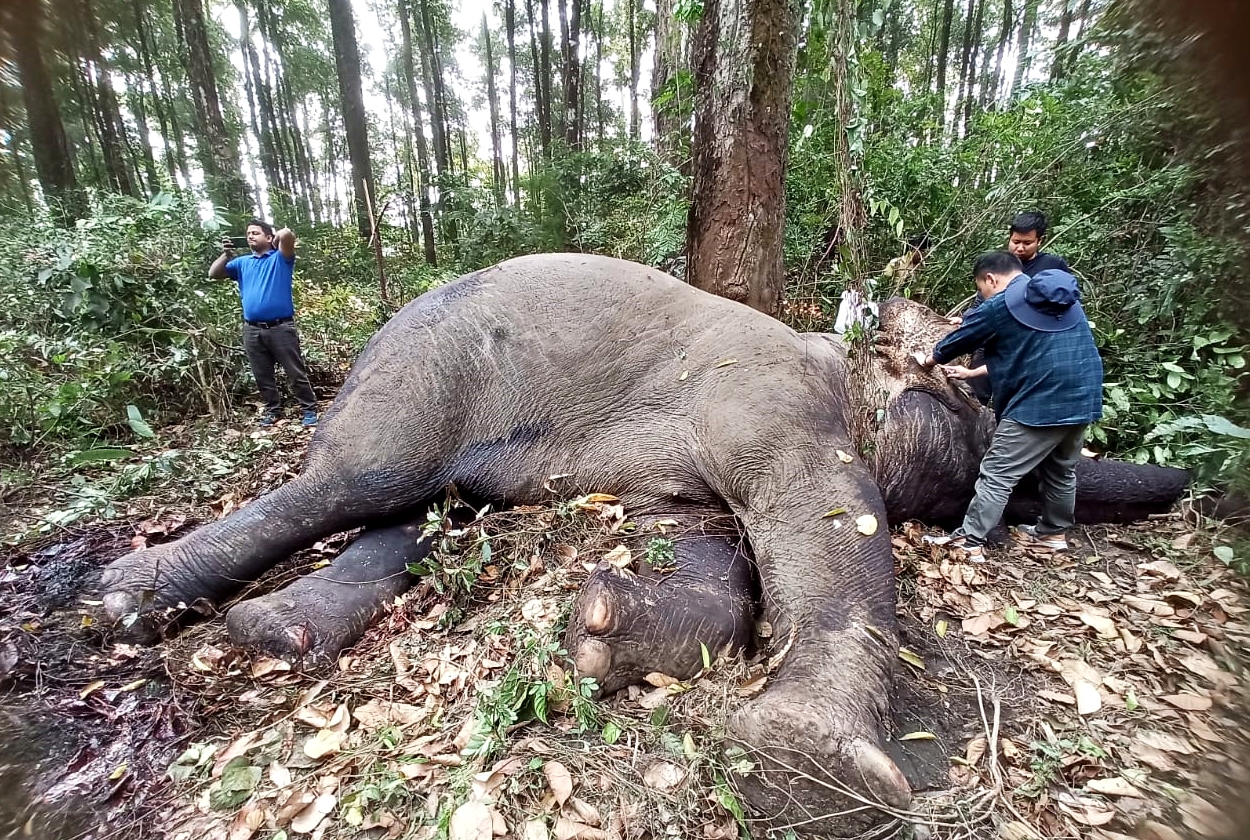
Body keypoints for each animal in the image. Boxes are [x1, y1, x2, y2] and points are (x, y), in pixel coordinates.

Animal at [97, 253, 1188, 835]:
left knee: (415, 517)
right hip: (419, 377)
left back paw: (274, 636)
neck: (840, 359)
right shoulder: (768, 402)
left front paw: (597, 629)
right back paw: (123, 604)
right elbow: (824, 519)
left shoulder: (686, 475)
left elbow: (705, 558)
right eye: (975, 410)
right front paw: (806, 771)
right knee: (355, 485)